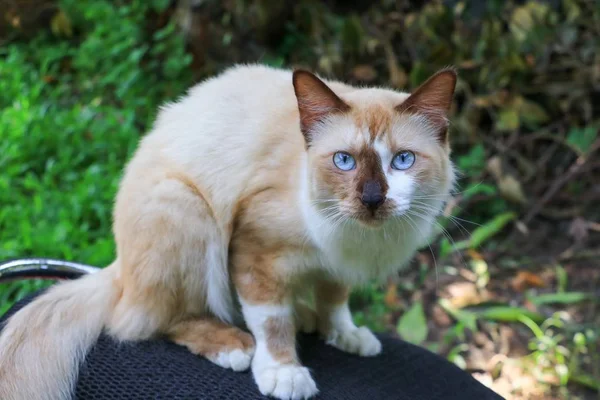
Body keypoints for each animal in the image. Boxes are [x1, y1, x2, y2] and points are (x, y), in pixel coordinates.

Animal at [0, 65, 454, 400]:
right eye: (344, 161)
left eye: (402, 160)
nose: (373, 199)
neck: (362, 239)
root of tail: (118, 268)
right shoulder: (256, 252)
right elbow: (271, 322)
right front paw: (285, 375)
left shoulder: (336, 265)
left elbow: (335, 302)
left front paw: (345, 336)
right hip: (187, 209)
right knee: (143, 323)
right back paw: (234, 346)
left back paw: (305, 319)